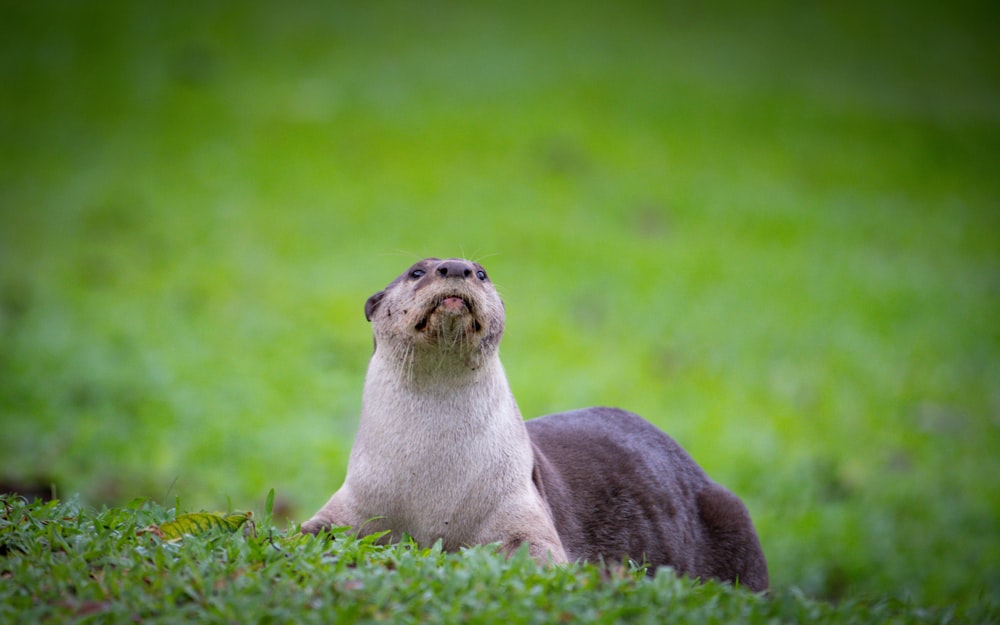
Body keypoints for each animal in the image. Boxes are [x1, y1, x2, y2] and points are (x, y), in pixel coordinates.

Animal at [300, 258, 768, 588]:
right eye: (417, 271)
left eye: (482, 272)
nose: (457, 268)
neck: (432, 483)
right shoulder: (357, 499)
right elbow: (310, 531)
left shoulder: (521, 501)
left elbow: (534, 552)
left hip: (733, 514)